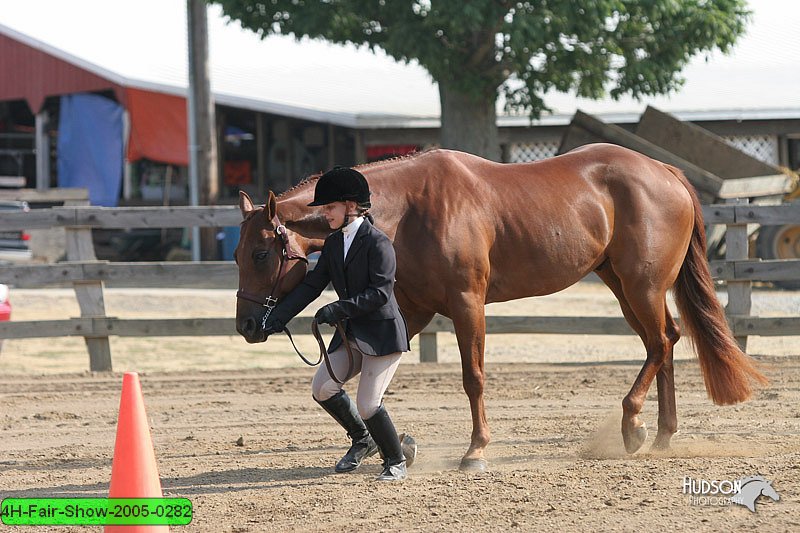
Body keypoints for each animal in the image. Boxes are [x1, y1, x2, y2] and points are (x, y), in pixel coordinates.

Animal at [234, 141, 764, 470]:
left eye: (261, 254)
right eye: (236, 254)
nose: (247, 326)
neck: (410, 208)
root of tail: (664, 173)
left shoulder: (467, 304)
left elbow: (473, 378)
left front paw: (475, 451)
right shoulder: (413, 309)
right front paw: (393, 444)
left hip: (642, 286)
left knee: (659, 344)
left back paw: (633, 425)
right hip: (622, 285)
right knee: (666, 343)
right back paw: (661, 435)